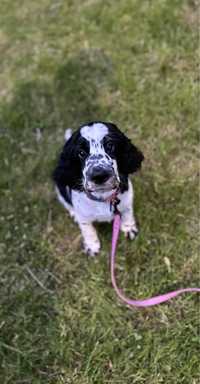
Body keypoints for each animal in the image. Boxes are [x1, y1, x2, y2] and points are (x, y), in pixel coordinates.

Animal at [53, 121, 144, 256]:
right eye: (81, 152)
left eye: (110, 145)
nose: (99, 175)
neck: (103, 196)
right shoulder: (84, 217)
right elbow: (87, 229)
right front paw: (92, 245)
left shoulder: (127, 200)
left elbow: (127, 213)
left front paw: (129, 228)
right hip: (60, 189)